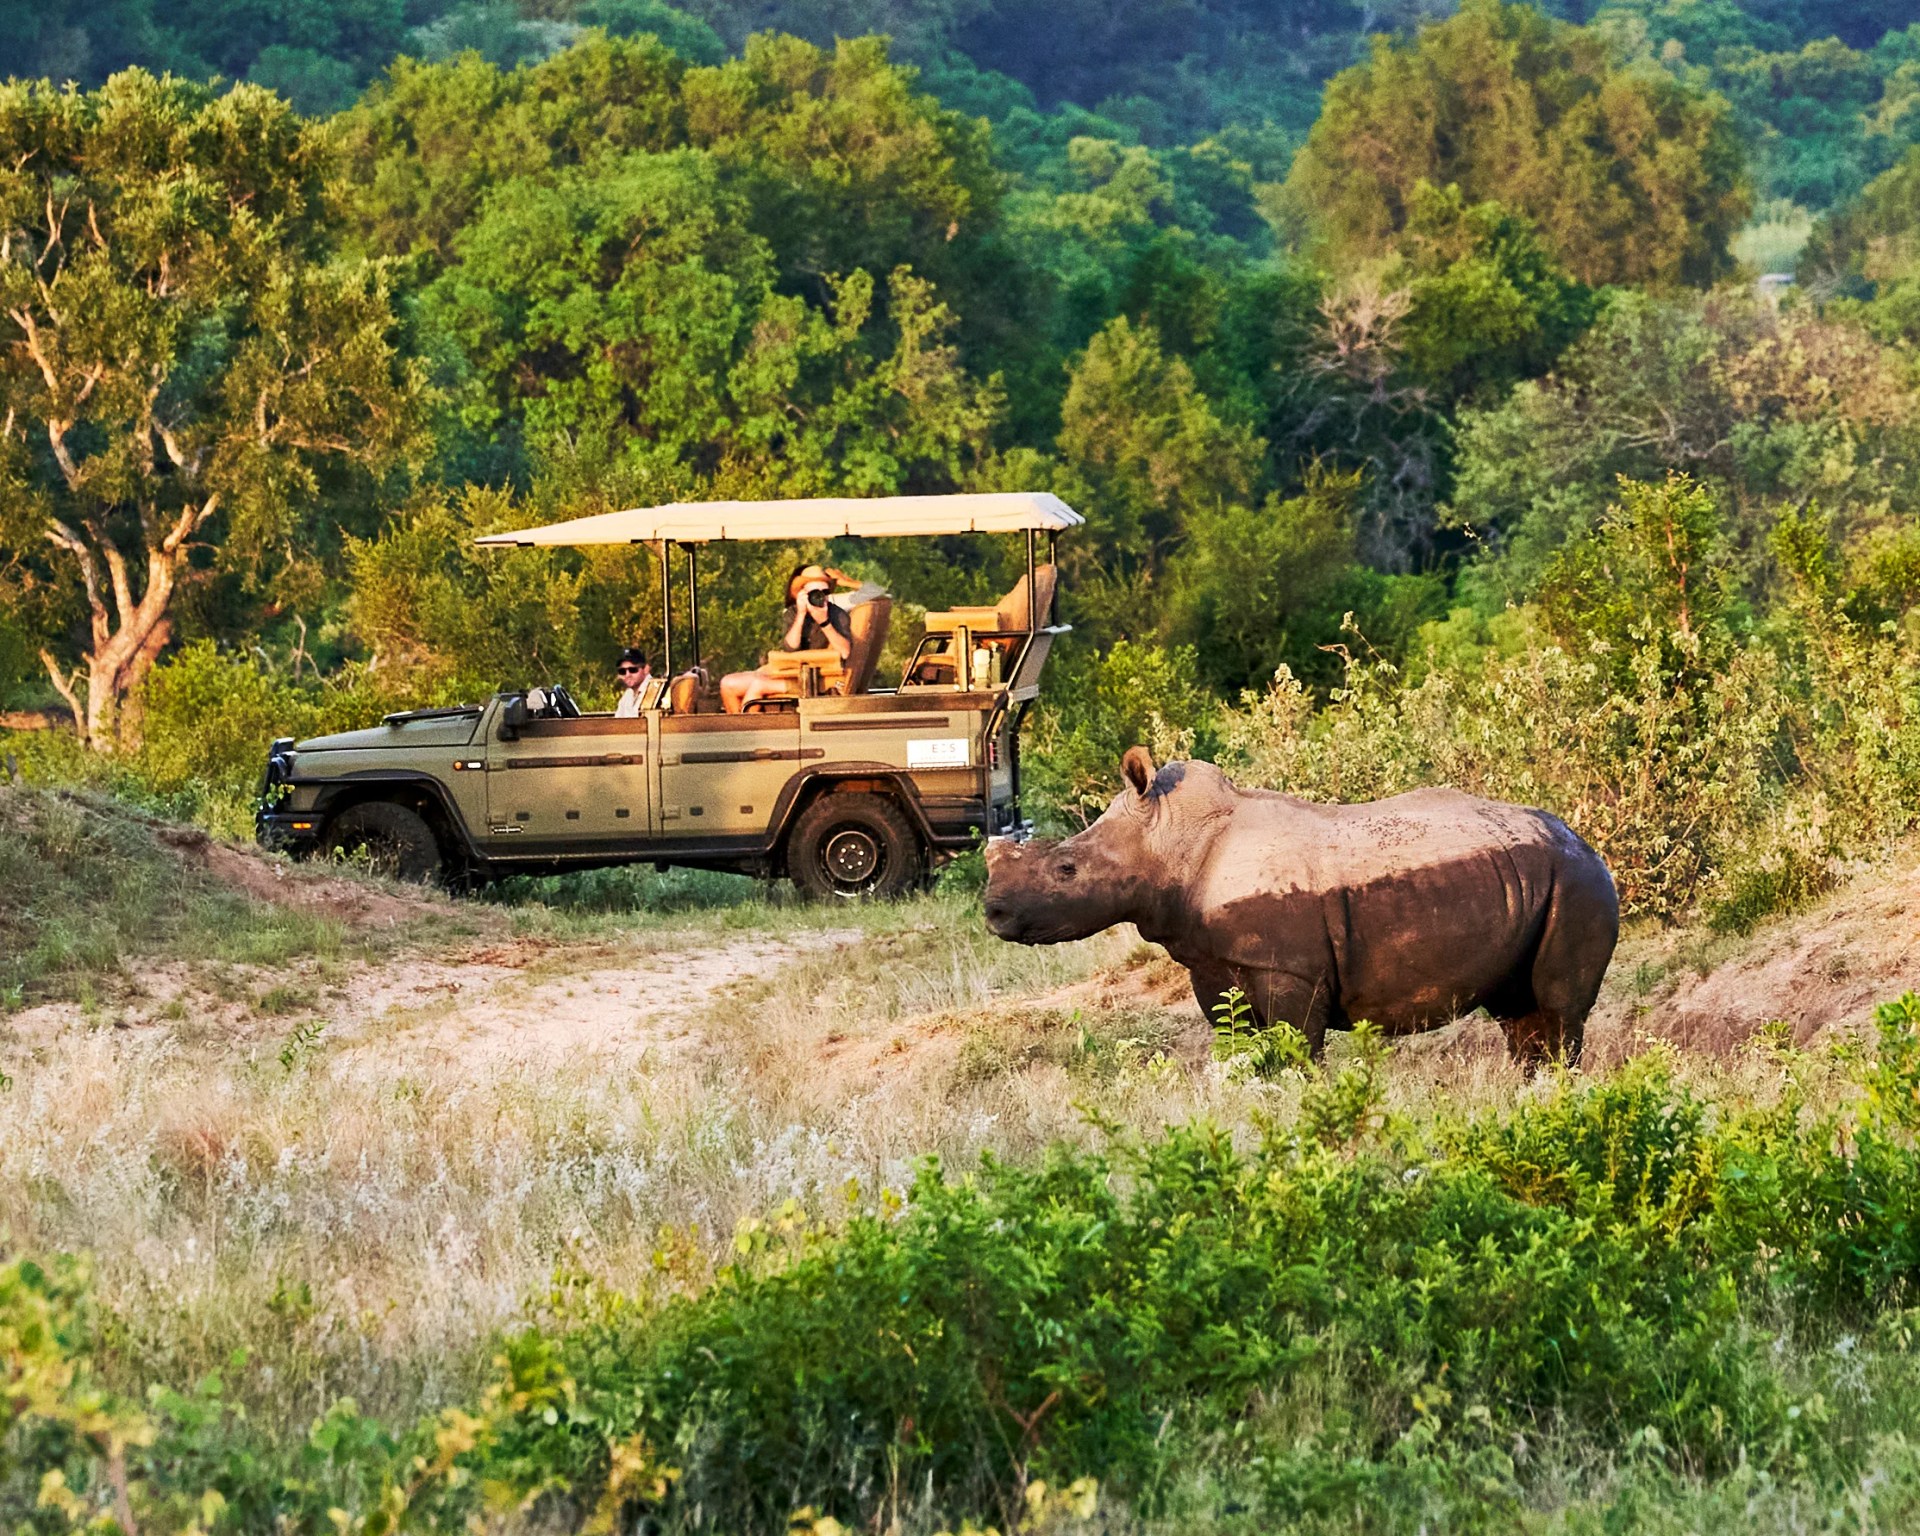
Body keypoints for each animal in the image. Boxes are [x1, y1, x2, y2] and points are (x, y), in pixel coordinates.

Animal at [985, 748, 1618, 1064]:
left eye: (1066, 871)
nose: (993, 912)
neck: (1172, 845)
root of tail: (1585, 841)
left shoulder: (1289, 969)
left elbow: (1296, 1051)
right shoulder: (1212, 965)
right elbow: (1240, 1050)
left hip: (1576, 880)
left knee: (1558, 1012)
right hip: (1536, 879)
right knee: (1519, 1013)